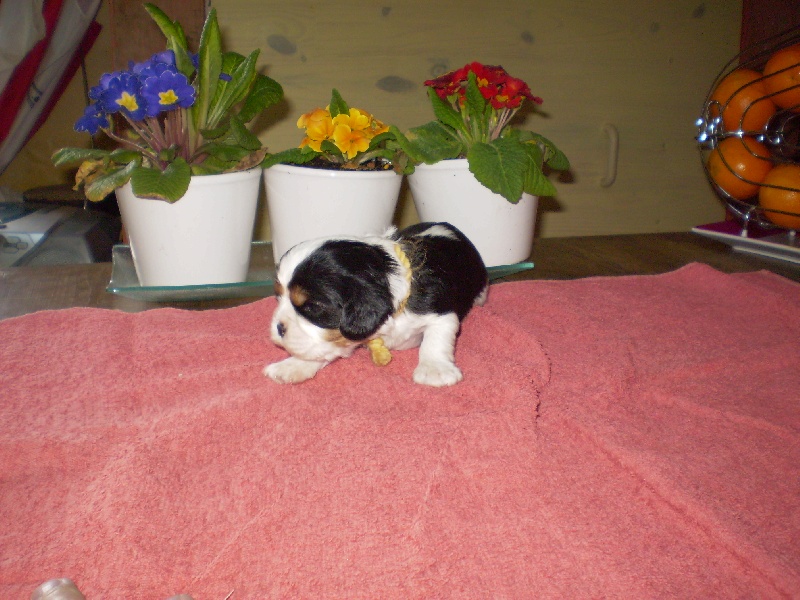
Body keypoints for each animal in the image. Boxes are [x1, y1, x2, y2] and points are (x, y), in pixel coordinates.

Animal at [264, 222, 488, 386]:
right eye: (278, 297)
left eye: (314, 307)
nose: (279, 328)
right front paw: (293, 366)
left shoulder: (438, 309)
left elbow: (436, 338)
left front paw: (435, 370)